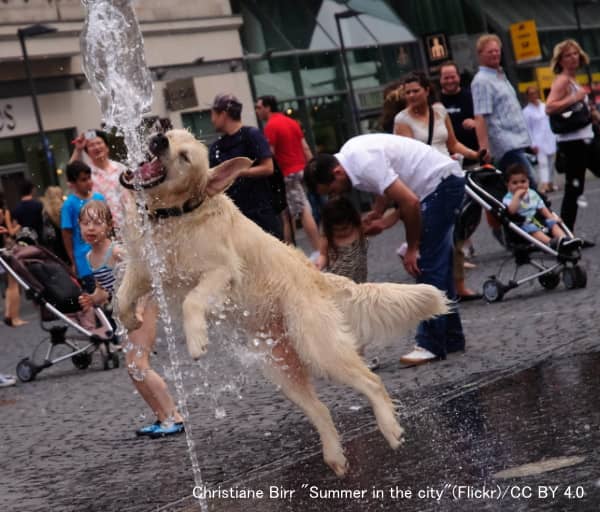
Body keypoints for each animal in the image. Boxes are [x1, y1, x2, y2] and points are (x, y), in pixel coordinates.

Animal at [116, 129, 450, 476]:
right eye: (169, 134)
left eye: (184, 156)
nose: (158, 139)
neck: (175, 214)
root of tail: (319, 277)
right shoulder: (144, 267)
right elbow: (120, 296)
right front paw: (130, 320)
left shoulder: (222, 271)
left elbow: (192, 302)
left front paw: (197, 341)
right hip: (281, 370)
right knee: (321, 409)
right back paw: (335, 457)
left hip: (320, 349)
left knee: (372, 382)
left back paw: (390, 429)